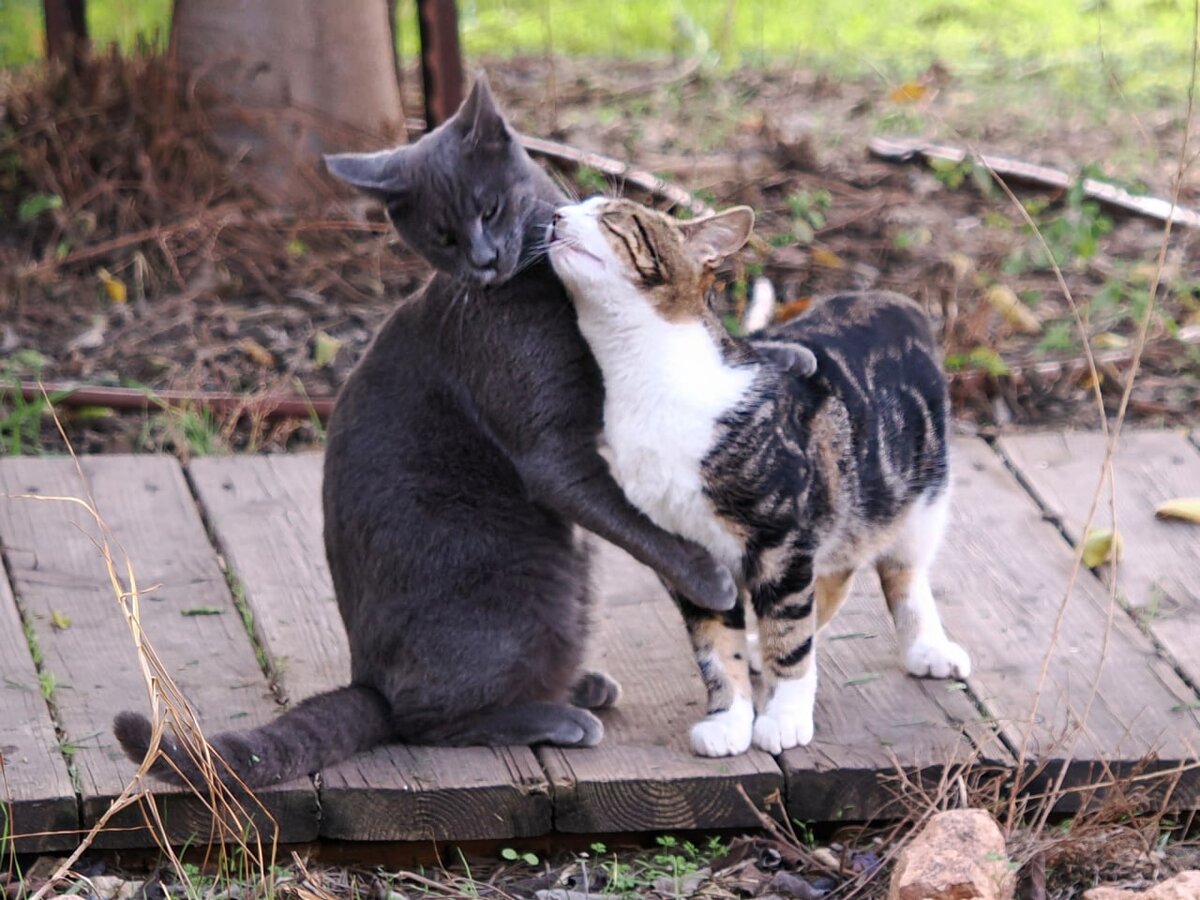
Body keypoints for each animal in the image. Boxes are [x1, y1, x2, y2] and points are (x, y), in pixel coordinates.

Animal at [114, 74, 729, 787]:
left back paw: (578, 687)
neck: (553, 293)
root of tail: (368, 682)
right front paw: (707, 574)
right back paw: (558, 716)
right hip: (527, 586)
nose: (485, 262)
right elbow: (629, 515)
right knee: (422, 719)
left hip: (572, 575)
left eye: (490, 209)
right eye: (442, 237)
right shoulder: (548, 451)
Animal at [549, 200, 969, 758]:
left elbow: (789, 634)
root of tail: (892, 297)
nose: (555, 214)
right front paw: (729, 718)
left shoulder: (782, 536)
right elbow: (713, 644)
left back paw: (928, 646)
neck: (647, 380)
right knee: (833, 575)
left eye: (614, 217)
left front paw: (785, 716)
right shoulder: (684, 549)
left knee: (902, 568)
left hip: (920, 490)